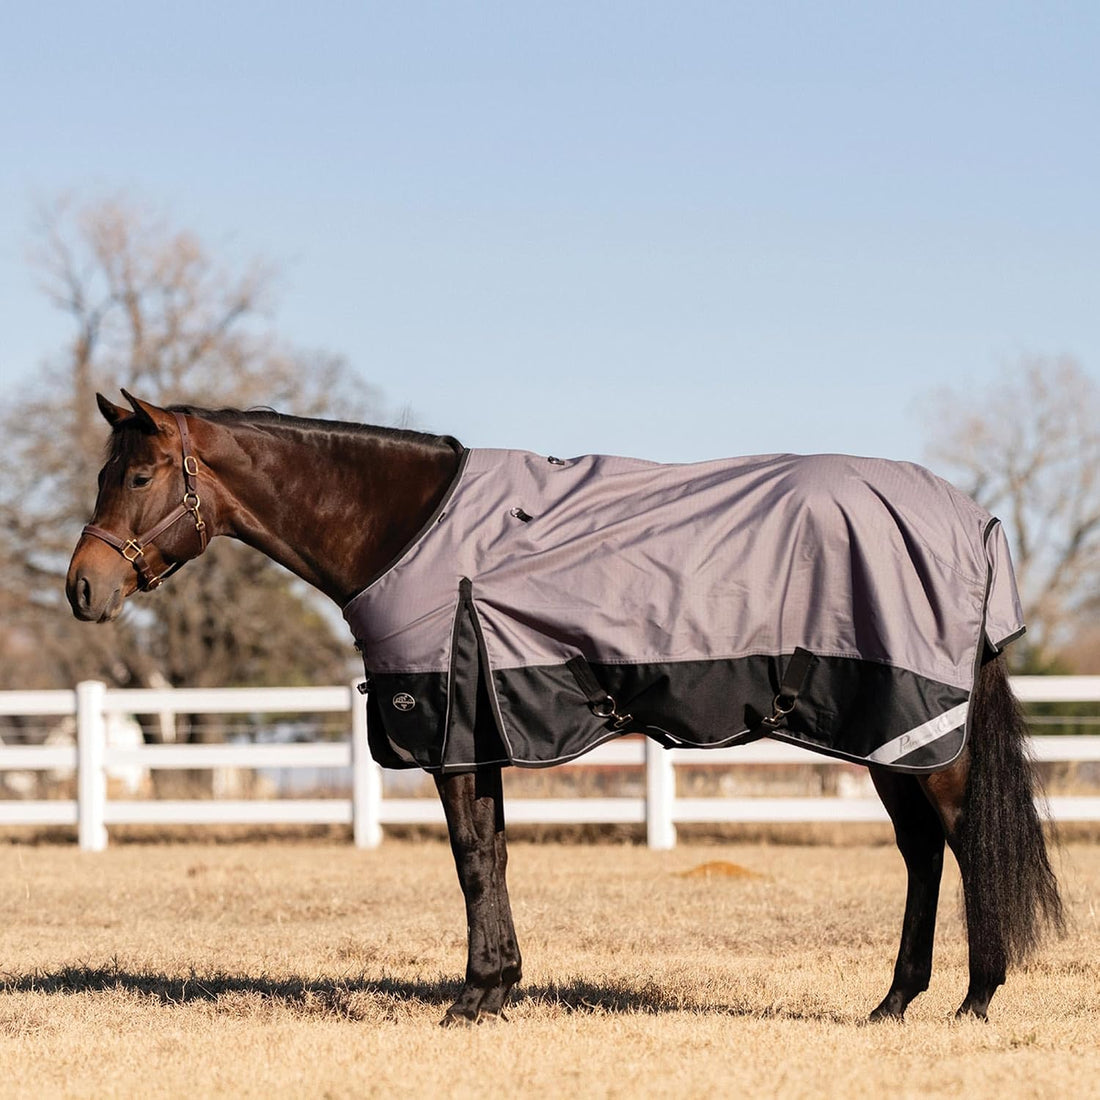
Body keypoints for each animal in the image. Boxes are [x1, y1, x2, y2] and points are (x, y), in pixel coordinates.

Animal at [65, 391, 1063, 1025]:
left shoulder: (451, 728)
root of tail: (976, 524)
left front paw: (471, 1001)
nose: (83, 588)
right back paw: (894, 1002)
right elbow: (496, 857)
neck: (407, 530)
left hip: (919, 728)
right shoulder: (485, 730)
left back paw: (976, 998)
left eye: (141, 476)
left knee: (963, 840)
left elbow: (473, 863)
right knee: (922, 853)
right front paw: (500, 989)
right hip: (888, 735)